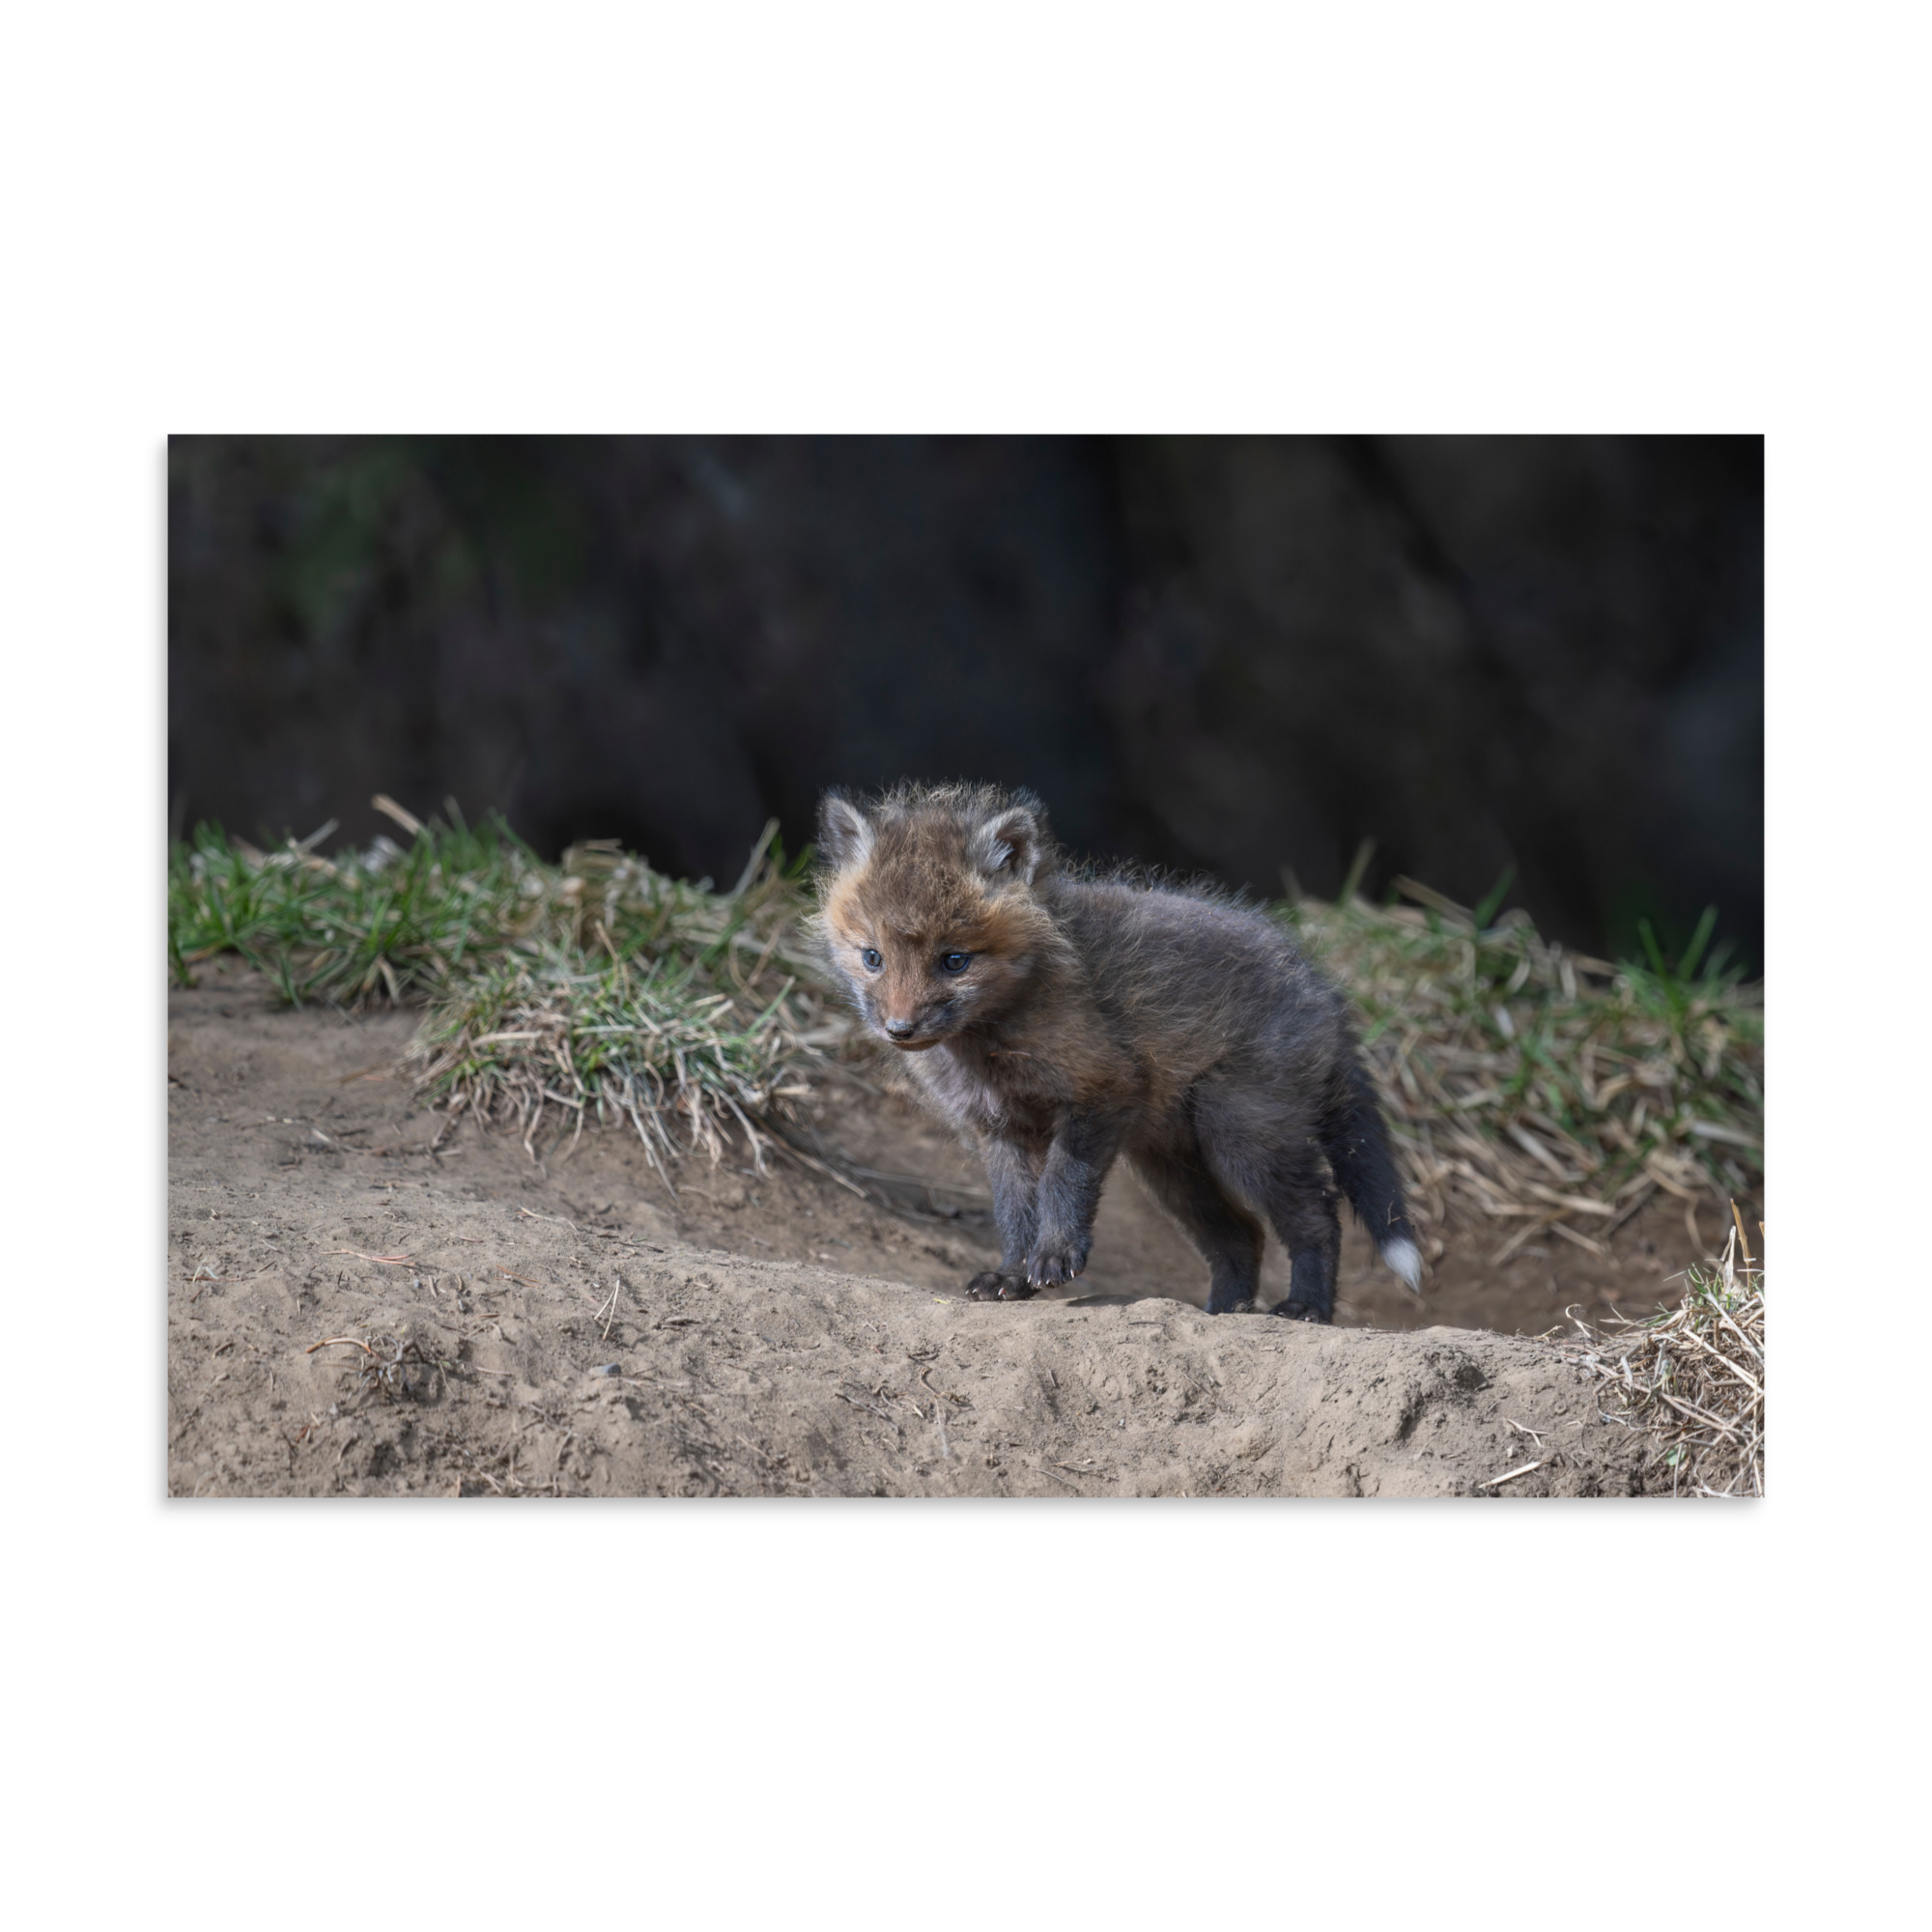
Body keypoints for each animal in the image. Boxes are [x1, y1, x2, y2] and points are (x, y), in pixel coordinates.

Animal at [812, 781, 1421, 1321]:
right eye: (872, 957)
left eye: (954, 961)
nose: (900, 1029)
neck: (991, 1046)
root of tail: (1324, 990)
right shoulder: (999, 1128)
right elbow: (1014, 1211)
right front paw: (1012, 1275)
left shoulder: (1101, 1089)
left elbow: (1063, 1183)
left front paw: (1055, 1256)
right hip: (1172, 1167)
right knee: (1242, 1236)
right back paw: (1223, 1312)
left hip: (1242, 1135)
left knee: (1318, 1216)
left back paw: (1306, 1308)